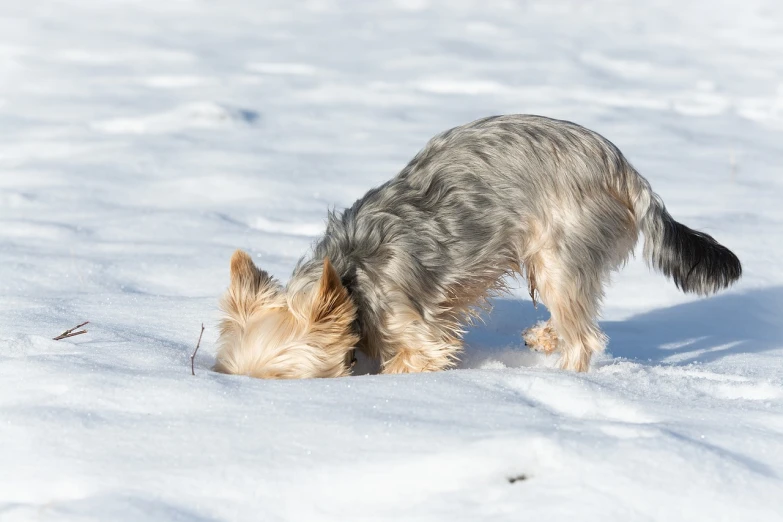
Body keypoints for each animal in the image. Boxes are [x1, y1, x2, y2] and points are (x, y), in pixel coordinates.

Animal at [213, 114, 740, 376]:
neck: (349, 279)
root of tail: (626, 171)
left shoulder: (415, 334)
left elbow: (413, 362)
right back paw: (542, 338)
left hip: (558, 252)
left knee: (584, 337)